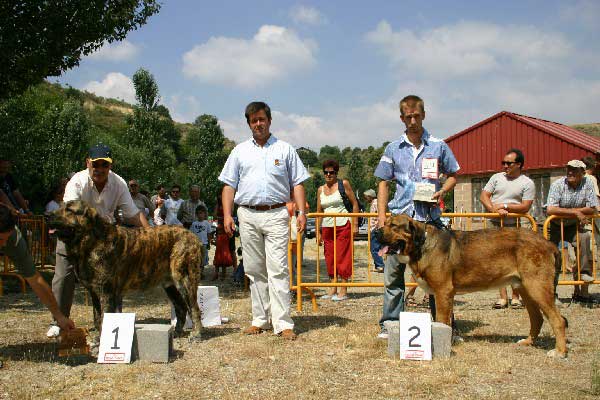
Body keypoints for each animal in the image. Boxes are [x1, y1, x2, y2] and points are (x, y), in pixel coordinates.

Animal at [48, 202, 206, 340]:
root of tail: (193, 236)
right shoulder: (94, 293)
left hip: (184, 279)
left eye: (69, 209)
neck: (92, 241)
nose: (47, 215)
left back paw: (197, 334)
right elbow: (97, 317)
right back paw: (177, 332)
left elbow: (104, 318)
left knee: (194, 308)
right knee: (182, 308)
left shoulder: (106, 292)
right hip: (170, 285)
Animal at [378, 214, 568, 358]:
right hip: (526, 289)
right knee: (537, 318)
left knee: (558, 320)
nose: (375, 232)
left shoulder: (443, 292)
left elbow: (441, 321)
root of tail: (549, 243)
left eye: (393, 225)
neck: (422, 244)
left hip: (537, 288)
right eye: (385, 223)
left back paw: (559, 352)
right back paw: (527, 342)